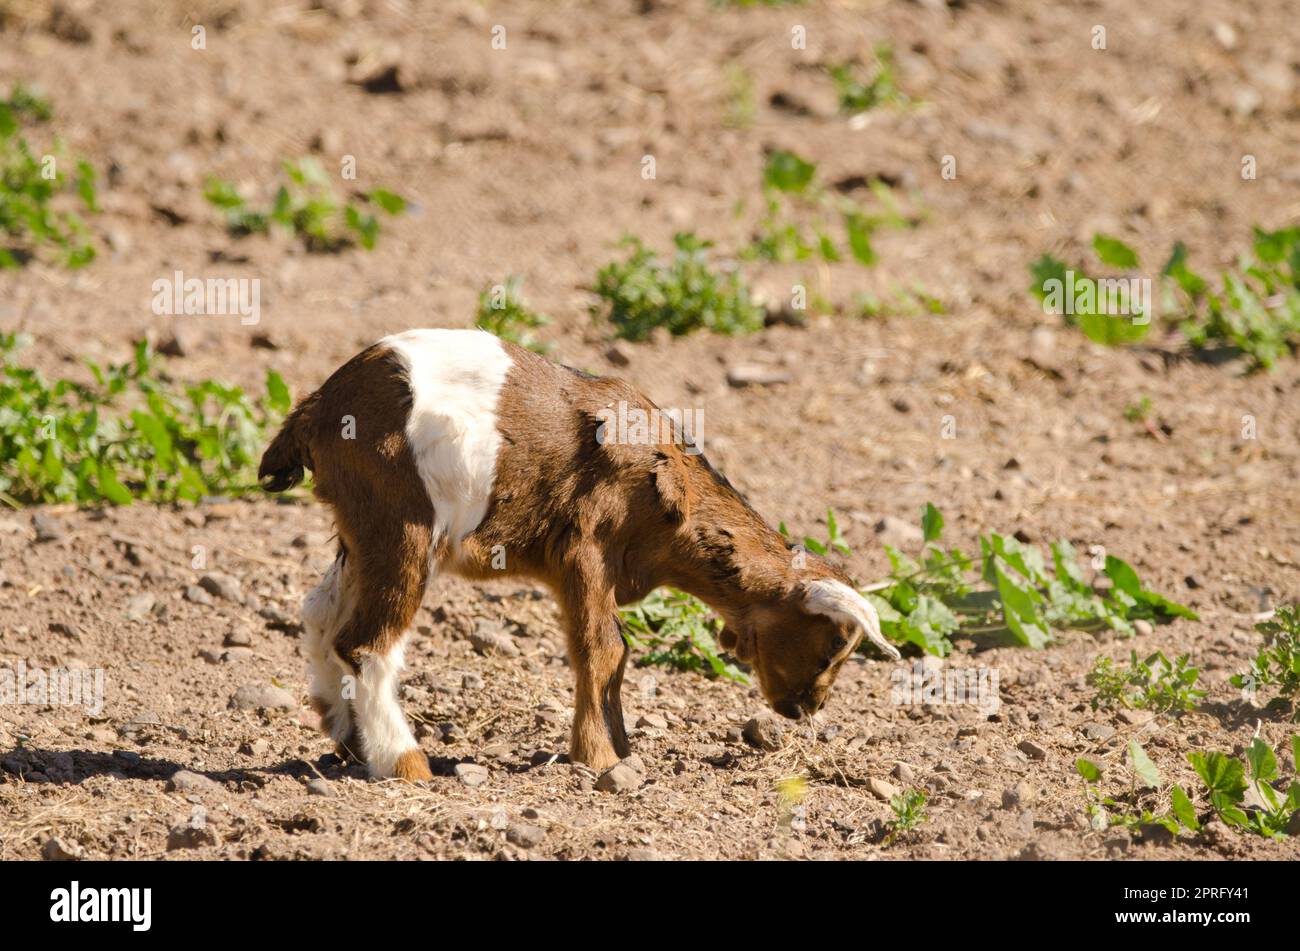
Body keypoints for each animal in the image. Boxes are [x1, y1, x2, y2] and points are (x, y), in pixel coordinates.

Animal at [258, 329, 898, 781]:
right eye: (833, 645)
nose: (805, 708)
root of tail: (316, 409)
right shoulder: (587, 548)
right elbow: (604, 649)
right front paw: (601, 759)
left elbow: (613, 651)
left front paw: (620, 749)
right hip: (402, 525)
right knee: (367, 642)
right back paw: (405, 762)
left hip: (360, 532)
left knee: (321, 613)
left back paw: (345, 738)